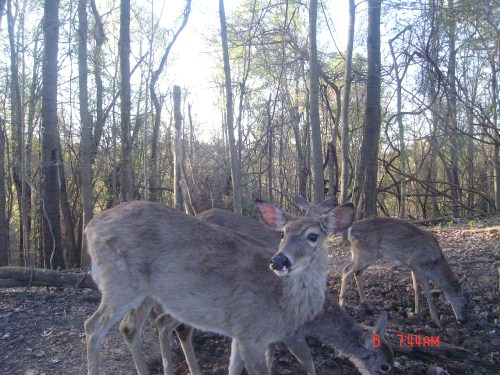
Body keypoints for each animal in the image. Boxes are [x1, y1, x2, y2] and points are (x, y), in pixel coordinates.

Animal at [84, 201, 354, 375]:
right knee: (93, 326)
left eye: (313, 236)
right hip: (121, 283)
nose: (278, 261)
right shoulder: (256, 333)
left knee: (129, 327)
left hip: (140, 292)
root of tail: (90, 227)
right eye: (283, 233)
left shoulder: (243, 333)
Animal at [340, 216, 468, 328]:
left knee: (357, 273)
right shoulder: (416, 262)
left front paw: (417, 312)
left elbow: (416, 288)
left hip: (368, 255)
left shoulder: (412, 266)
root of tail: (350, 231)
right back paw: (342, 306)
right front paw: (436, 321)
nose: (463, 320)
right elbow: (427, 292)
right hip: (366, 253)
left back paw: (367, 305)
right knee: (346, 270)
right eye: (465, 303)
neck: (434, 263)